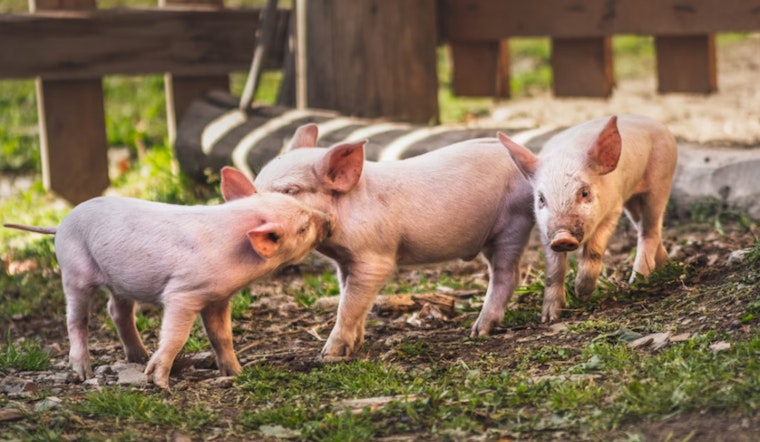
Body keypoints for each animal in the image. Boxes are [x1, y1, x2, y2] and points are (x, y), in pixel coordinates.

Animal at [3, 167, 331, 389]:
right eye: (302, 227)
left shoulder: (218, 298)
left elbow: (222, 336)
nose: (328, 220)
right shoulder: (183, 293)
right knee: (76, 318)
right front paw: (159, 382)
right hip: (74, 269)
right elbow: (176, 335)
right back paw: (85, 372)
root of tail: (60, 224)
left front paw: (238, 373)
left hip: (118, 281)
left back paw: (138, 356)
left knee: (117, 310)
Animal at [252, 123, 535, 360]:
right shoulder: (345, 262)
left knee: (507, 274)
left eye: (290, 190)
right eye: (257, 184)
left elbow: (349, 304)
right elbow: (352, 299)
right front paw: (355, 345)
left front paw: (328, 356)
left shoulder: (374, 257)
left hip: (513, 223)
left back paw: (478, 331)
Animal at [498, 115, 677, 322]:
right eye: (541, 199)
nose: (562, 237)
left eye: (584, 192)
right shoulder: (545, 230)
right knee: (644, 228)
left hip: (660, 182)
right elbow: (554, 268)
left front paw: (581, 294)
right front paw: (549, 317)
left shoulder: (613, 209)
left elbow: (594, 249)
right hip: (633, 201)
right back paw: (665, 266)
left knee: (650, 231)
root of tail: (656, 124)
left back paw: (637, 281)